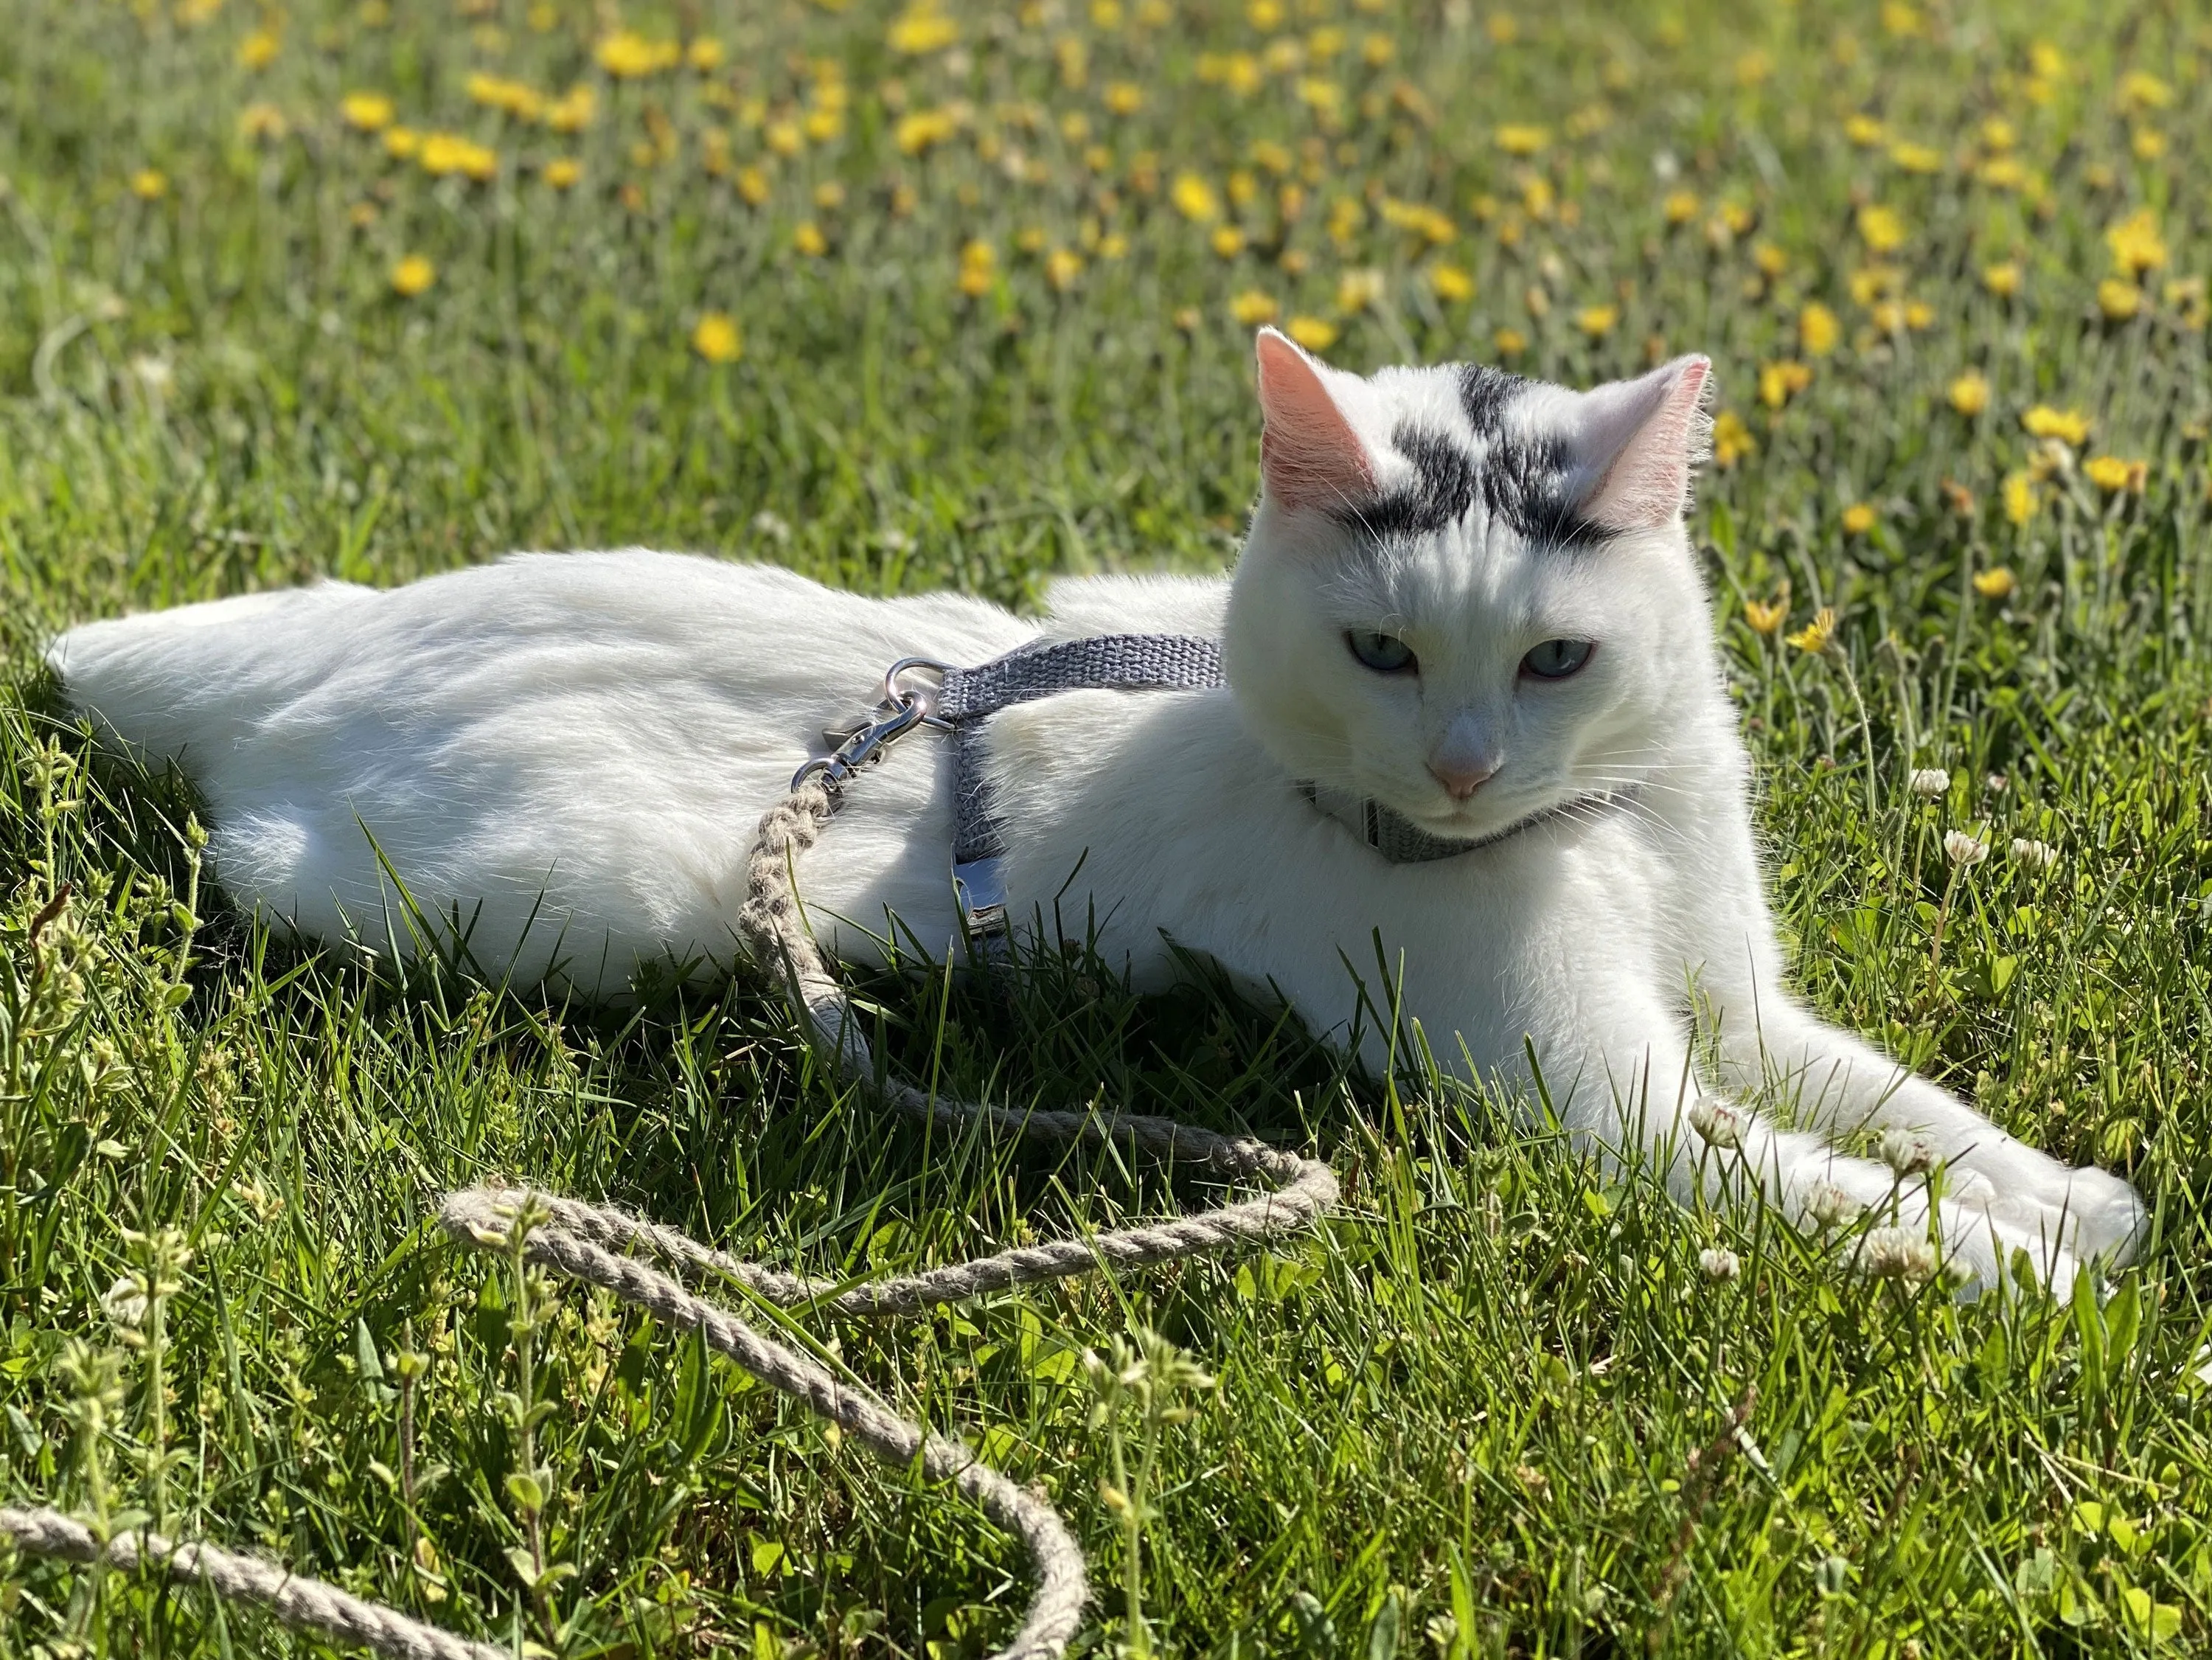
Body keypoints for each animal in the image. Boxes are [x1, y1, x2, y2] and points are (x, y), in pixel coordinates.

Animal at [47, 332, 2141, 1301]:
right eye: (1383, 651)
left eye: (1555, 660)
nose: (1465, 767)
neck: (1596, 833)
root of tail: (368, 624)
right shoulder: (1606, 1104)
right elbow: (1815, 1177)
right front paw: (2029, 1281)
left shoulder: (1737, 1004)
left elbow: (1900, 1106)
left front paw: (2072, 1200)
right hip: (503, 899)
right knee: (244, 855)